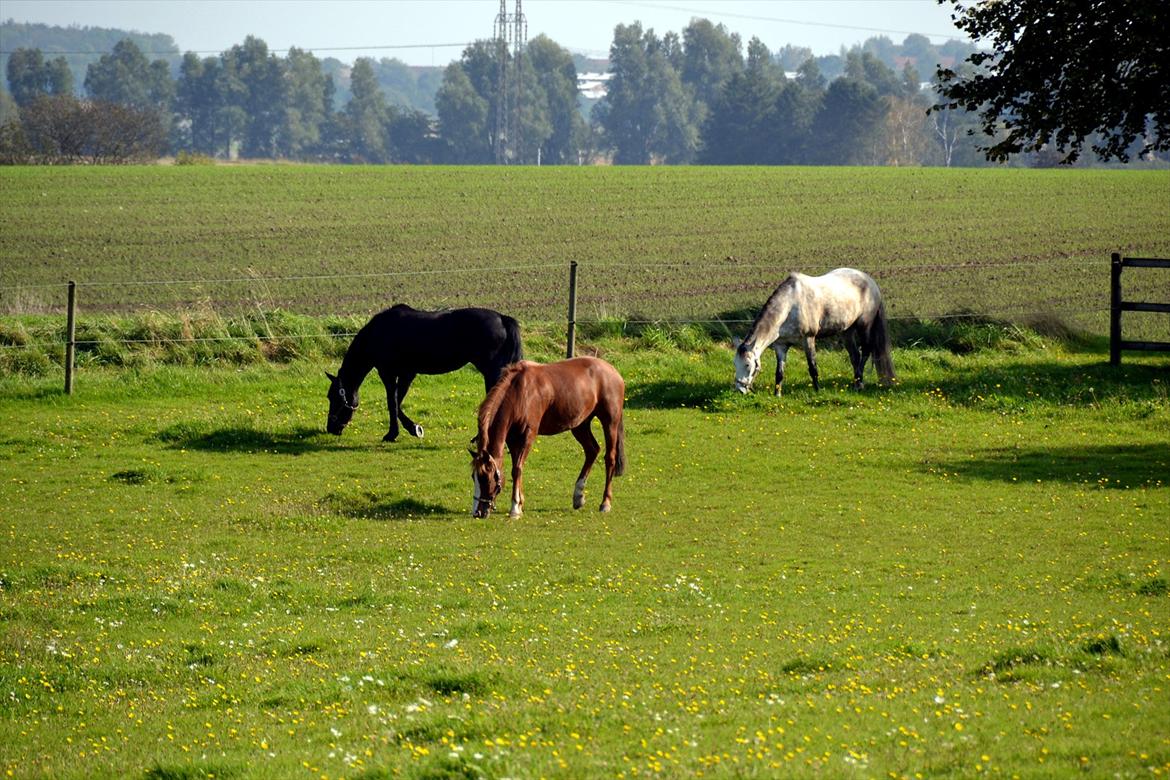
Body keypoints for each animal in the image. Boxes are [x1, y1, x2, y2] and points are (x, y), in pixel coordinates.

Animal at [322, 304, 519, 442]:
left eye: (334, 397)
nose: (331, 428)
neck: (379, 333)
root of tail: (502, 318)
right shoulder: (407, 374)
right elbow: (397, 402)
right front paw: (412, 428)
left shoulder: (388, 373)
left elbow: (392, 403)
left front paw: (395, 433)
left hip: (490, 372)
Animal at [470, 357, 627, 519]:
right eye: (473, 477)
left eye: (485, 478)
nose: (477, 512)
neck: (519, 392)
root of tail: (613, 371)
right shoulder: (513, 439)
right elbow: (517, 468)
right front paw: (520, 504)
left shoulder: (528, 435)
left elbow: (517, 469)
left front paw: (515, 508)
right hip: (580, 425)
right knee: (592, 450)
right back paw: (578, 496)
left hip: (610, 422)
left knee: (610, 458)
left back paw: (605, 502)